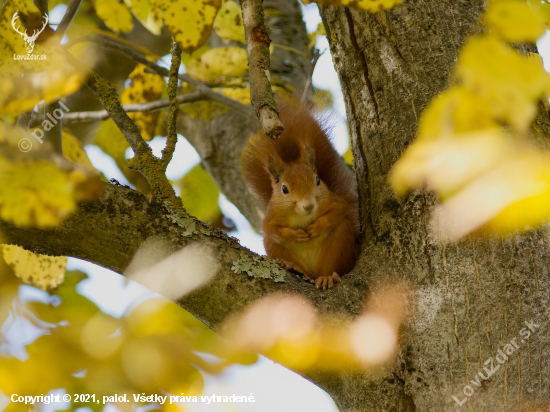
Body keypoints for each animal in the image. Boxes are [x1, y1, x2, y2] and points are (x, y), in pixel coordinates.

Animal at [244, 102, 360, 290]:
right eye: (284, 189)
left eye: (318, 180)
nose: (309, 206)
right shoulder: (271, 217)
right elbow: (270, 229)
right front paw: (294, 235)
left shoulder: (334, 201)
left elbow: (341, 209)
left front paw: (317, 227)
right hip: (274, 247)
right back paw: (292, 267)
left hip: (340, 243)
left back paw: (328, 277)